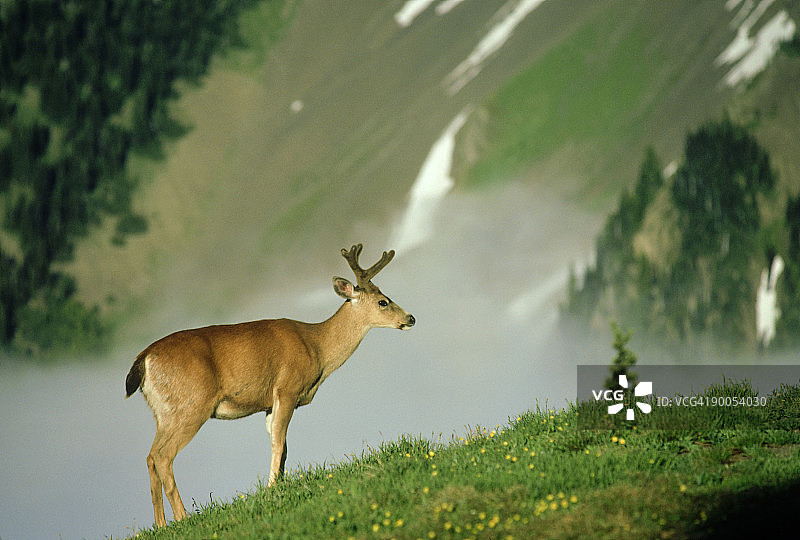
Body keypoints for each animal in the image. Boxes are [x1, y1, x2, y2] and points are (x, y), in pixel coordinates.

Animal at [125, 244, 415, 527]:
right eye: (383, 301)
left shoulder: (268, 403)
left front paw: (279, 485)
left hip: (164, 413)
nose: (411, 318)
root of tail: (145, 359)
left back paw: (162, 524)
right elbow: (279, 441)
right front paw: (272, 488)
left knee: (150, 456)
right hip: (192, 405)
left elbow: (282, 445)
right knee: (163, 456)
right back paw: (183, 517)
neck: (317, 347)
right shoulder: (287, 387)